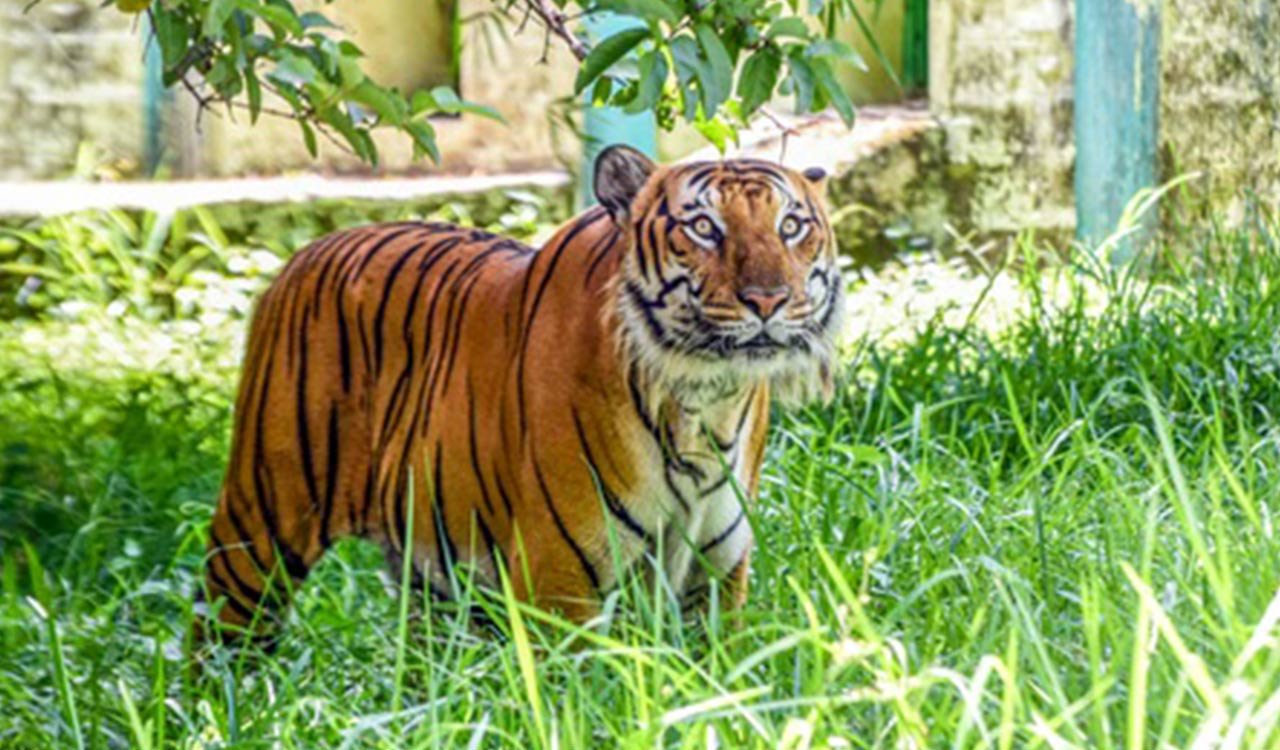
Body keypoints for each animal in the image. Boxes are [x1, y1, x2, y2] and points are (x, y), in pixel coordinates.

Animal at [197, 145, 843, 639]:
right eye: (704, 228)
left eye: (791, 226)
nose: (768, 300)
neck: (703, 397)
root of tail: (303, 254)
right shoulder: (560, 578)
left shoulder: (713, 578)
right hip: (262, 521)